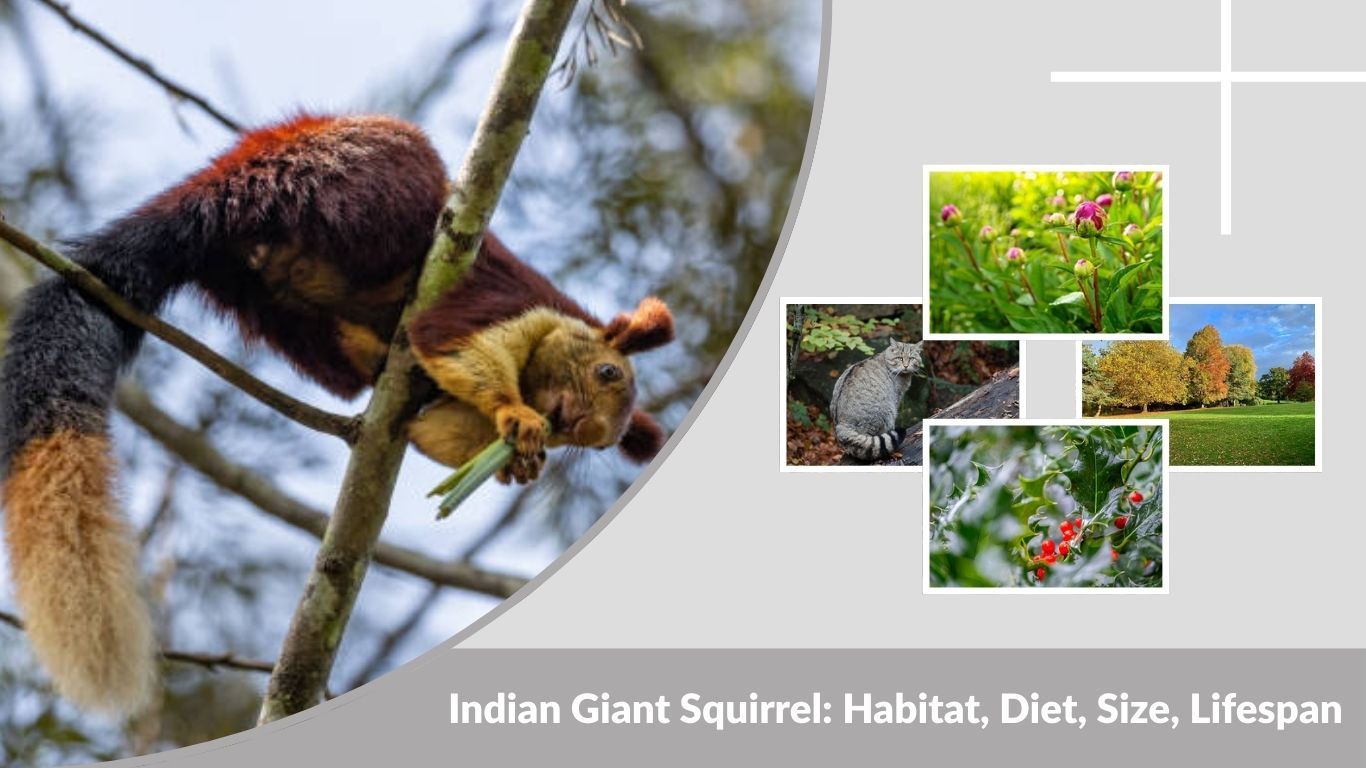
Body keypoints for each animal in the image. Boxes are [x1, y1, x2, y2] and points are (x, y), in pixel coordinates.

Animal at [0, 113, 675, 715]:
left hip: (269, 302)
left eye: (595, 444)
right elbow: (447, 342)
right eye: (608, 374)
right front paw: (514, 417)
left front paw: (512, 462)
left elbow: (430, 428)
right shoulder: (501, 302)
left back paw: (365, 347)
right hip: (353, 182)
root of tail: (215, 193)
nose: (579, 426)